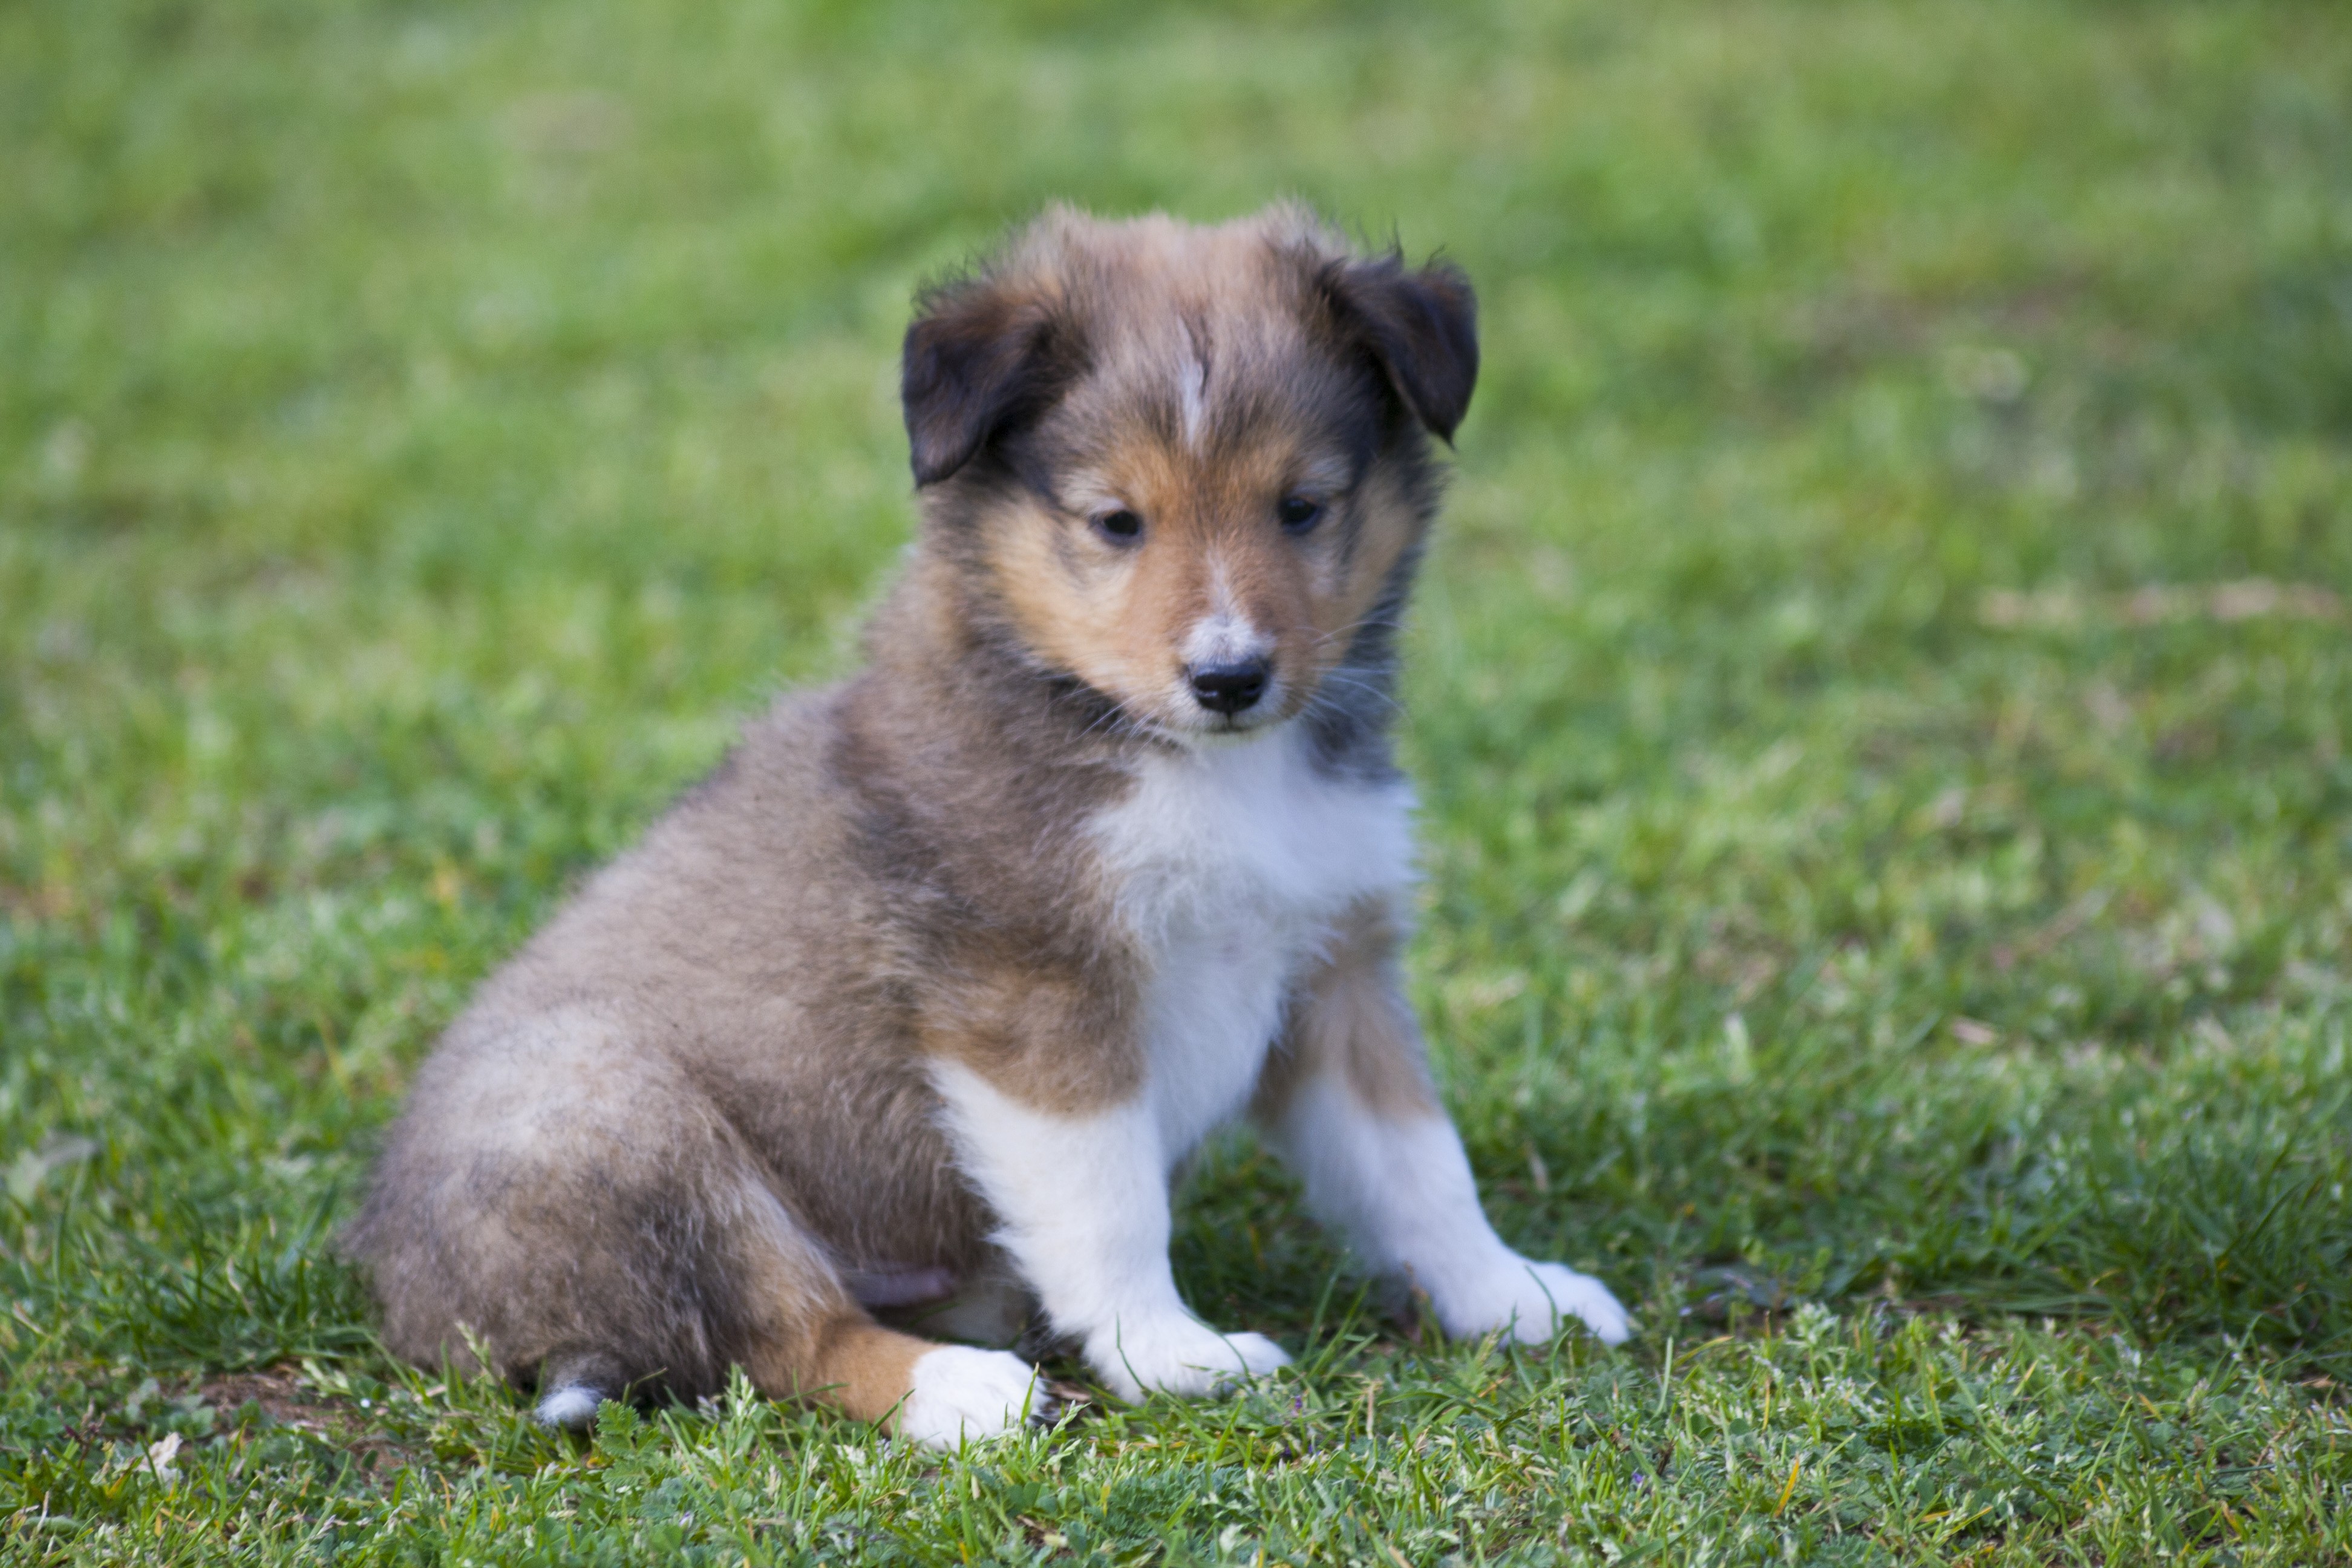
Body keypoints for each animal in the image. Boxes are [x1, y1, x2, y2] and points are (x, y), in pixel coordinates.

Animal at [348, 206, 1627, 1448]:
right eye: (1116, 522)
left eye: (1302, 507)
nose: (1230, 677)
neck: (1193, 764)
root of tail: (412, 1303)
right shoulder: (1032, 988)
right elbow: (1110, 1201)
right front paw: (1170, 1355)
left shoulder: (1331, 963)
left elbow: (1419, 1160)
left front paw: (1517, 1295)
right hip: (617, 1116)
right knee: (786, 1336)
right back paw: (974, 1395)